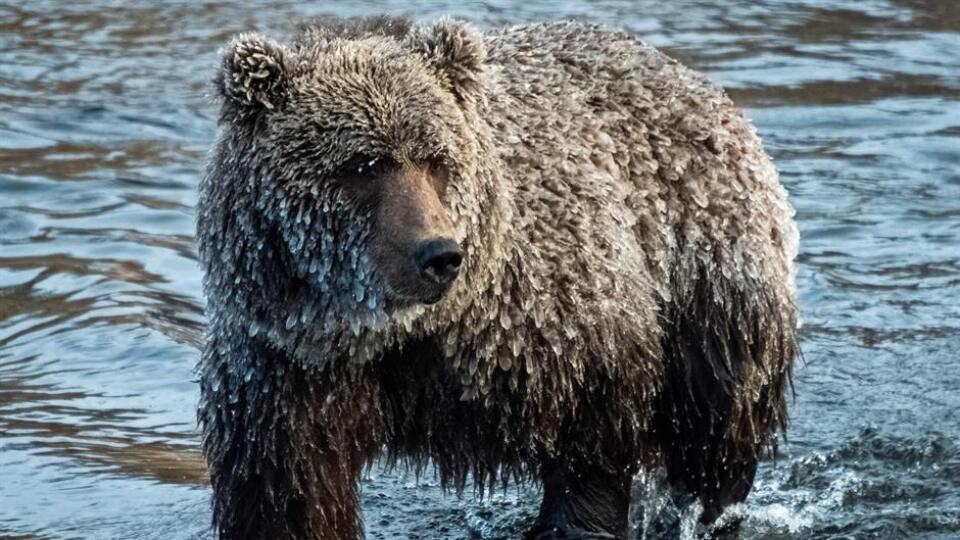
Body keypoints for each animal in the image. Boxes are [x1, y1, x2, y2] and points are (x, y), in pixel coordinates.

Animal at [195, 15, 796, 540]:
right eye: (363, 165)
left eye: (437, 160)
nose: (438, 254)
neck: (395, 333)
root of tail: (689, 76)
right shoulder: (285, 369)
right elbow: (290, 494)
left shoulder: (553, 323)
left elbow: (593, 438)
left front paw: (576, 522)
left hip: (709, 273)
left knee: (717, 423)